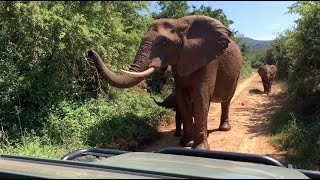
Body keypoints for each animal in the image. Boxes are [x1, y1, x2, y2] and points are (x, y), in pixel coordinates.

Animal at [86, 14, 241, 149]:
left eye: (164, 42)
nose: (90, 52)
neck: (180, 23)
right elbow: (182, 97)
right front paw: (186, 143)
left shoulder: (209, 61)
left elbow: (201, 96)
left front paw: (199, 148)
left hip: (236, 73)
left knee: (226, 100)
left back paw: (224, 129)